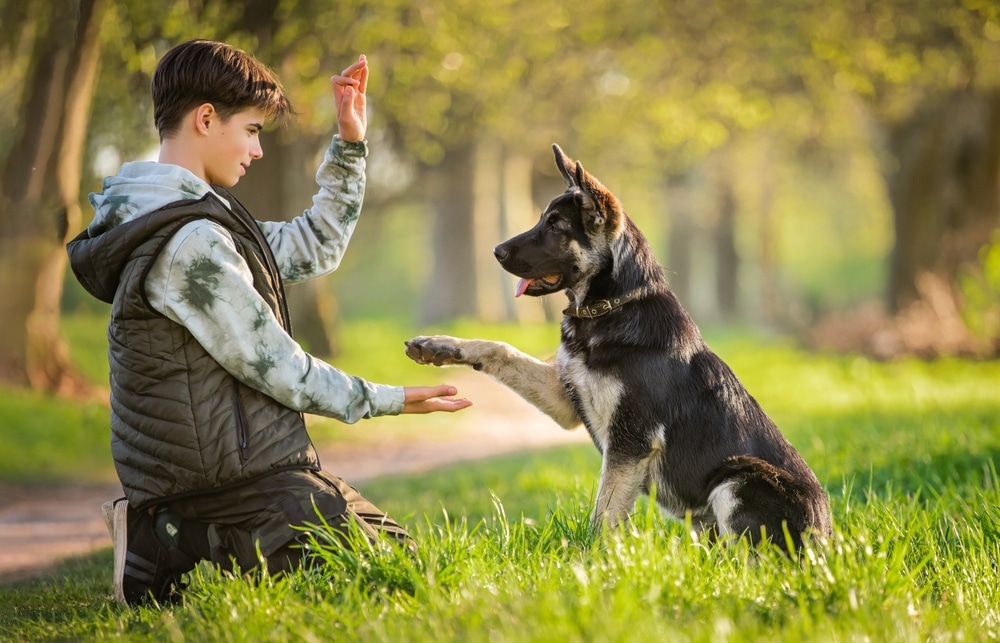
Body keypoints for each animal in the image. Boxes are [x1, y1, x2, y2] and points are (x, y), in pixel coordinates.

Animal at [402, 146, 832, 552]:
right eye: (542, 220)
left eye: (556, 226)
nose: (495, 251)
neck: (610, 307)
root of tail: (826, 541)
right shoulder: (566, 401)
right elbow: (500, 349)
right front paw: (440, 346)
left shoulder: (630, 444)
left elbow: (604, 515)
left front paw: (593, 560)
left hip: (737, 478)